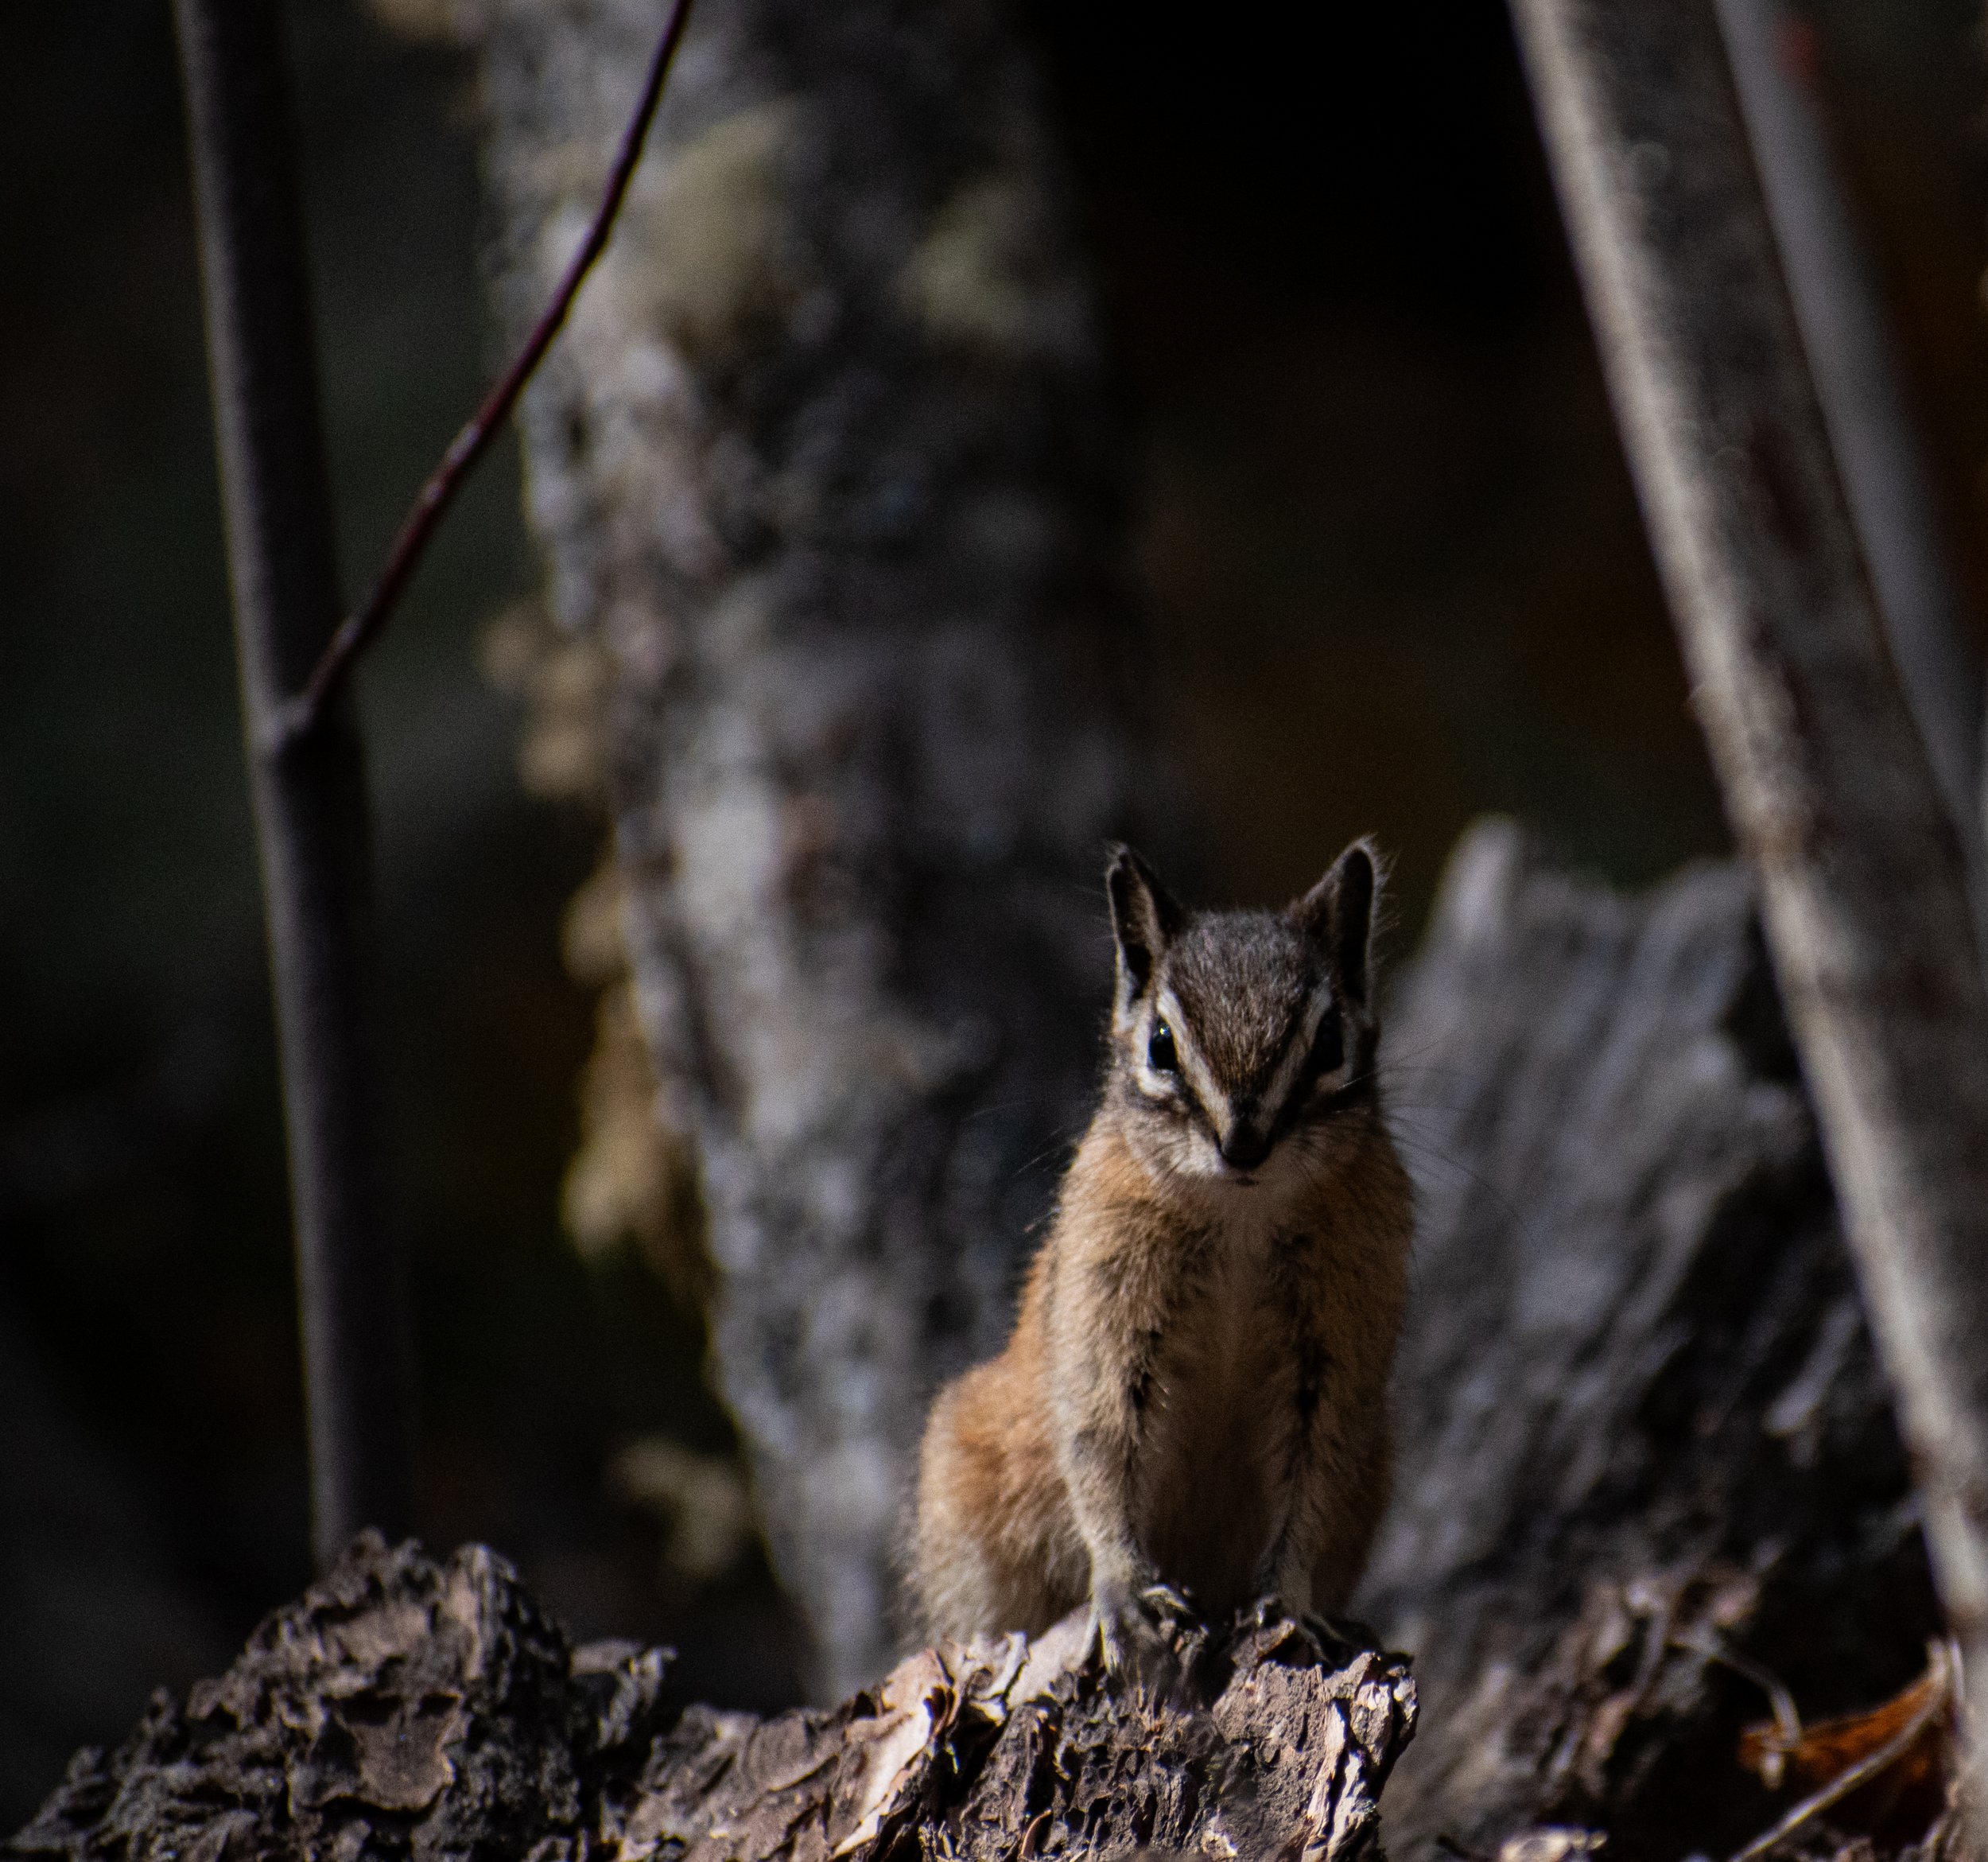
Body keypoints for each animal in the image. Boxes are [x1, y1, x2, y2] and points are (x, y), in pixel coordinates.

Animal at [911, 839, 1412, 1686]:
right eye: (1160, 1045)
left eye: (1330, 1043)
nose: (1244, 1143)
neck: (1243, 1215)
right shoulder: (1107, 1322)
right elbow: (1101, 1447)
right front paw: (1124, 1590)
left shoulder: (1335, 1361)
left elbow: (1315, 1479)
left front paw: (1291, 1601)